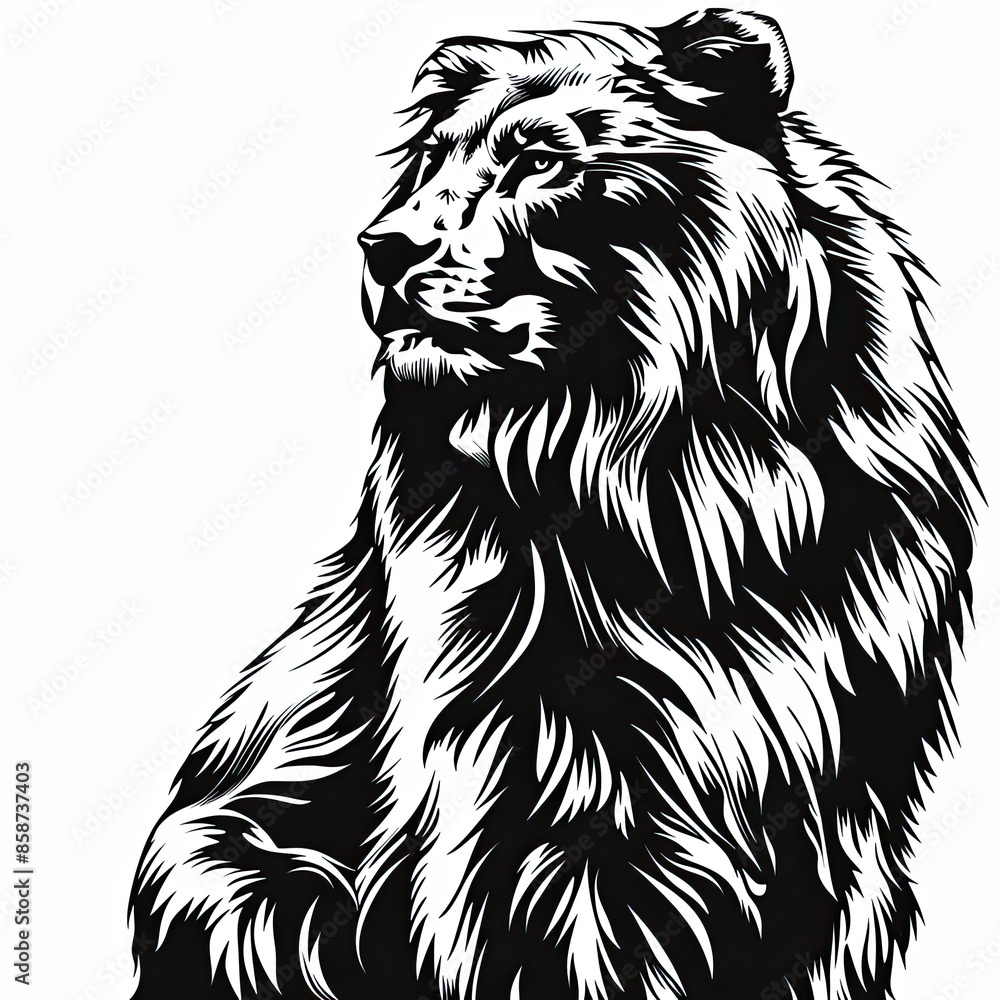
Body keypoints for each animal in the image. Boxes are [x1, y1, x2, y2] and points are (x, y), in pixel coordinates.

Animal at [129, 10, 978, 1000]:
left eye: (539, 162)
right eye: (433, 159)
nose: (383, 245)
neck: (677, 475)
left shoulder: (840, 803)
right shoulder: (527, 794)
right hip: (236, 876)